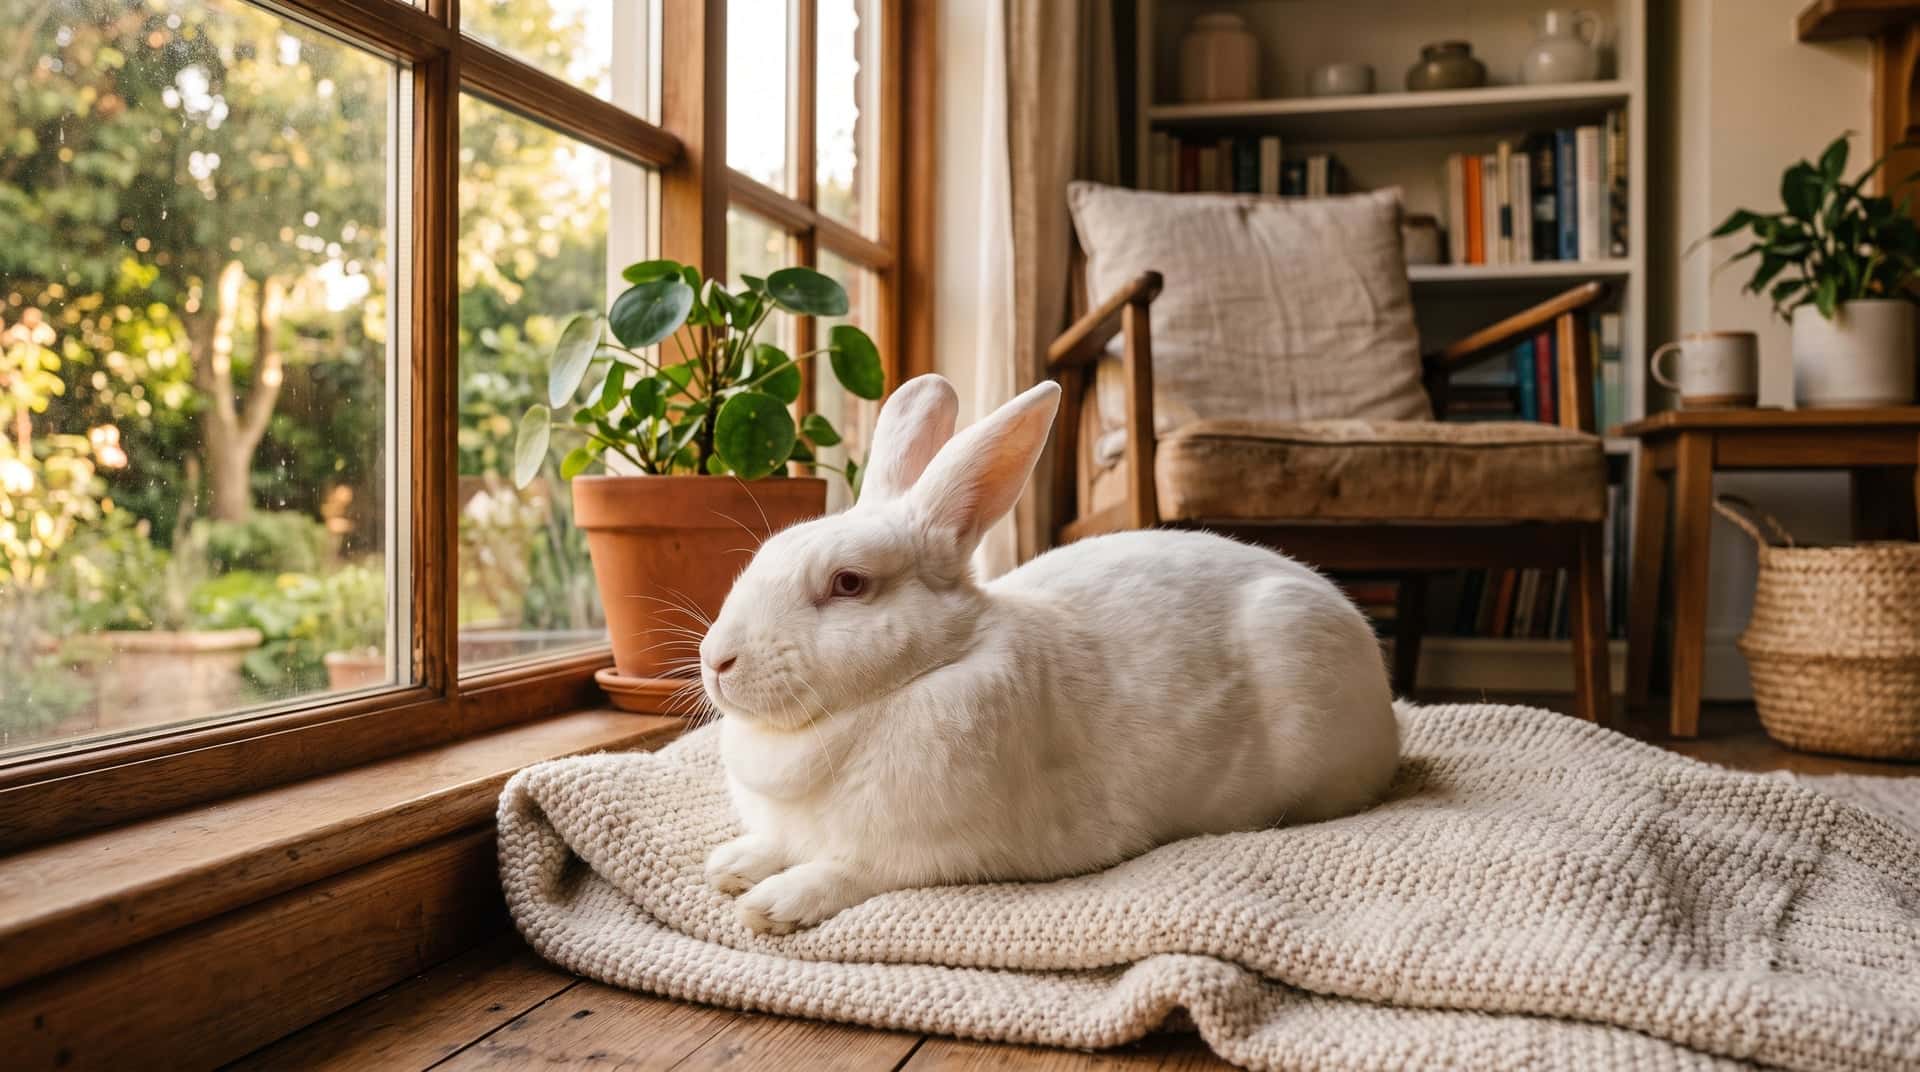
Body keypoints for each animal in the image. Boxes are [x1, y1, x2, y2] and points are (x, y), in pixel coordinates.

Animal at [699, 373, 1401, 935]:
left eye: (848, 583)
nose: (716, 660)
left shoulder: (934, 852)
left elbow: (852, 871)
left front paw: (775, 903)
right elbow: (779, 843)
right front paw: (733, 862)